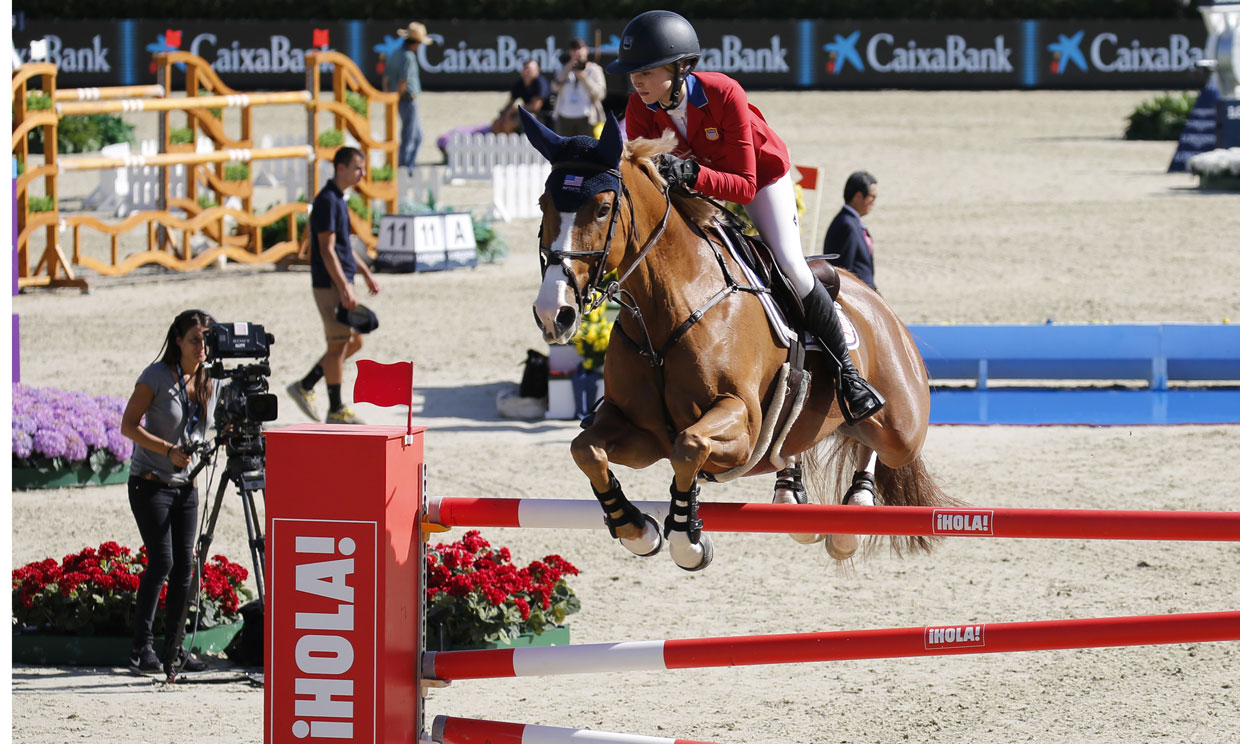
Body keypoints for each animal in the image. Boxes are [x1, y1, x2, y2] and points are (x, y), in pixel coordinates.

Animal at [523, 110, 947, 572]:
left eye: (602, 209)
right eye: (543, 204)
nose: (554, 313)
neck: (670, 308)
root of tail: (876, 301)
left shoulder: (741, 424)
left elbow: (689, 446)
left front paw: (685, 540)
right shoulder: (641, 434)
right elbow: (586, 449)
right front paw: (637, 529)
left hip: (900, 427)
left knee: (873, 442)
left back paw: (851, 519)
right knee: (811, 440)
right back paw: (793, 498)